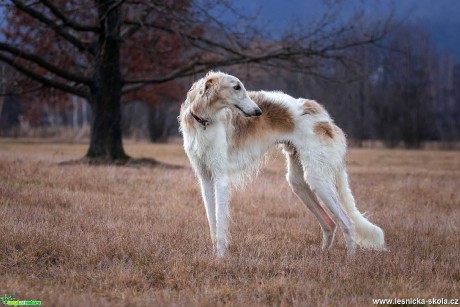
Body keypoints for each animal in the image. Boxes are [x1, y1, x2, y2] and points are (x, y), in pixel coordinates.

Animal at [180, 71, 384, 258]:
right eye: (236, 87)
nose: (258, 112)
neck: (204, 121)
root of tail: (324, 115)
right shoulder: (206, 179)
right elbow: (212, 223)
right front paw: (215, 255)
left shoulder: (220, 179)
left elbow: (220, 225)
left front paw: (221, 258)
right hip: (298, 182)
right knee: (330, 223)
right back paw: (323, 255)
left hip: (317, 179)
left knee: (347, 223)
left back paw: (350, 260)